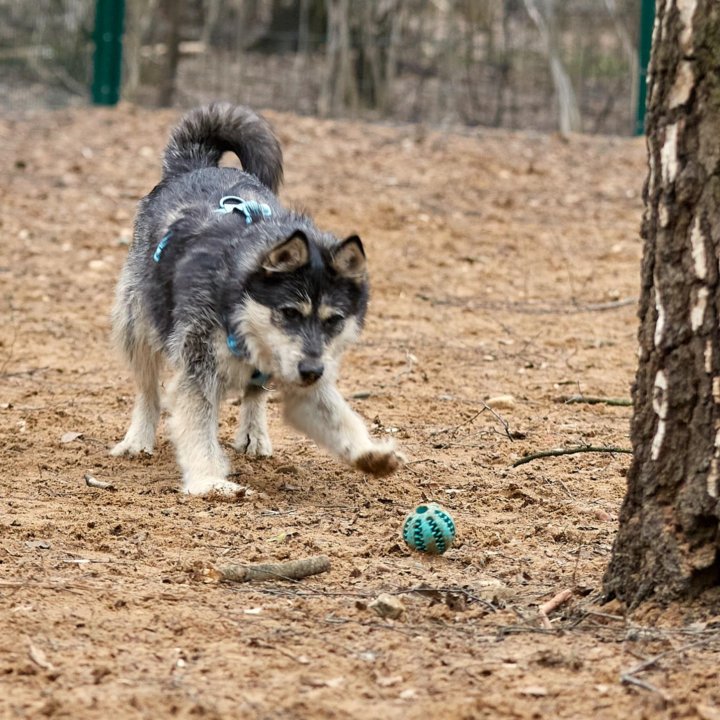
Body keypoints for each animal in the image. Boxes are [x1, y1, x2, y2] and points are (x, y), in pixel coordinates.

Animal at [111, 102, 404, 496]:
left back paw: (254, 434)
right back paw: (138, 438)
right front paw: (209, 480)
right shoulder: (197, 370)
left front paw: (369, 453)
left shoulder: (306, 375)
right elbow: (197, 427)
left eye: (334, 320)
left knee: (254, 394)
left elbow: (337, 415)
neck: (236, 306)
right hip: (139, 324)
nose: (312, 371)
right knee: (147, 390)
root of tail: (196, 165)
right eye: (289, 313)